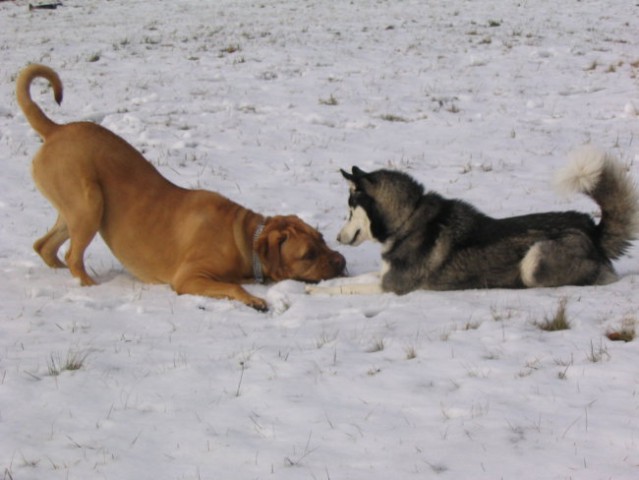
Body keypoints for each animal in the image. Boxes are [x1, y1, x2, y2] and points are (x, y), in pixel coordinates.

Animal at [15, 64, 344, 312]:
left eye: (322, 238)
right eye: (308, 255)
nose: (341, 261)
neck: (245, 237)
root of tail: (55, 130)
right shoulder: (189, 277)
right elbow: (232, 285)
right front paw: (253, 299)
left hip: (75, 208)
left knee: (44, 246)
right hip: (89, 205)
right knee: (73, 254)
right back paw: (90, 286)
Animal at [308, 146, 636, 296]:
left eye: (349, 210)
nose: (337, 238)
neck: (408, 218)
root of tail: (591, 229)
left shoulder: (393, 286)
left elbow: (346, 289)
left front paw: (317, 290)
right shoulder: (385, 276)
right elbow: (355, 279)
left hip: (535, 260)